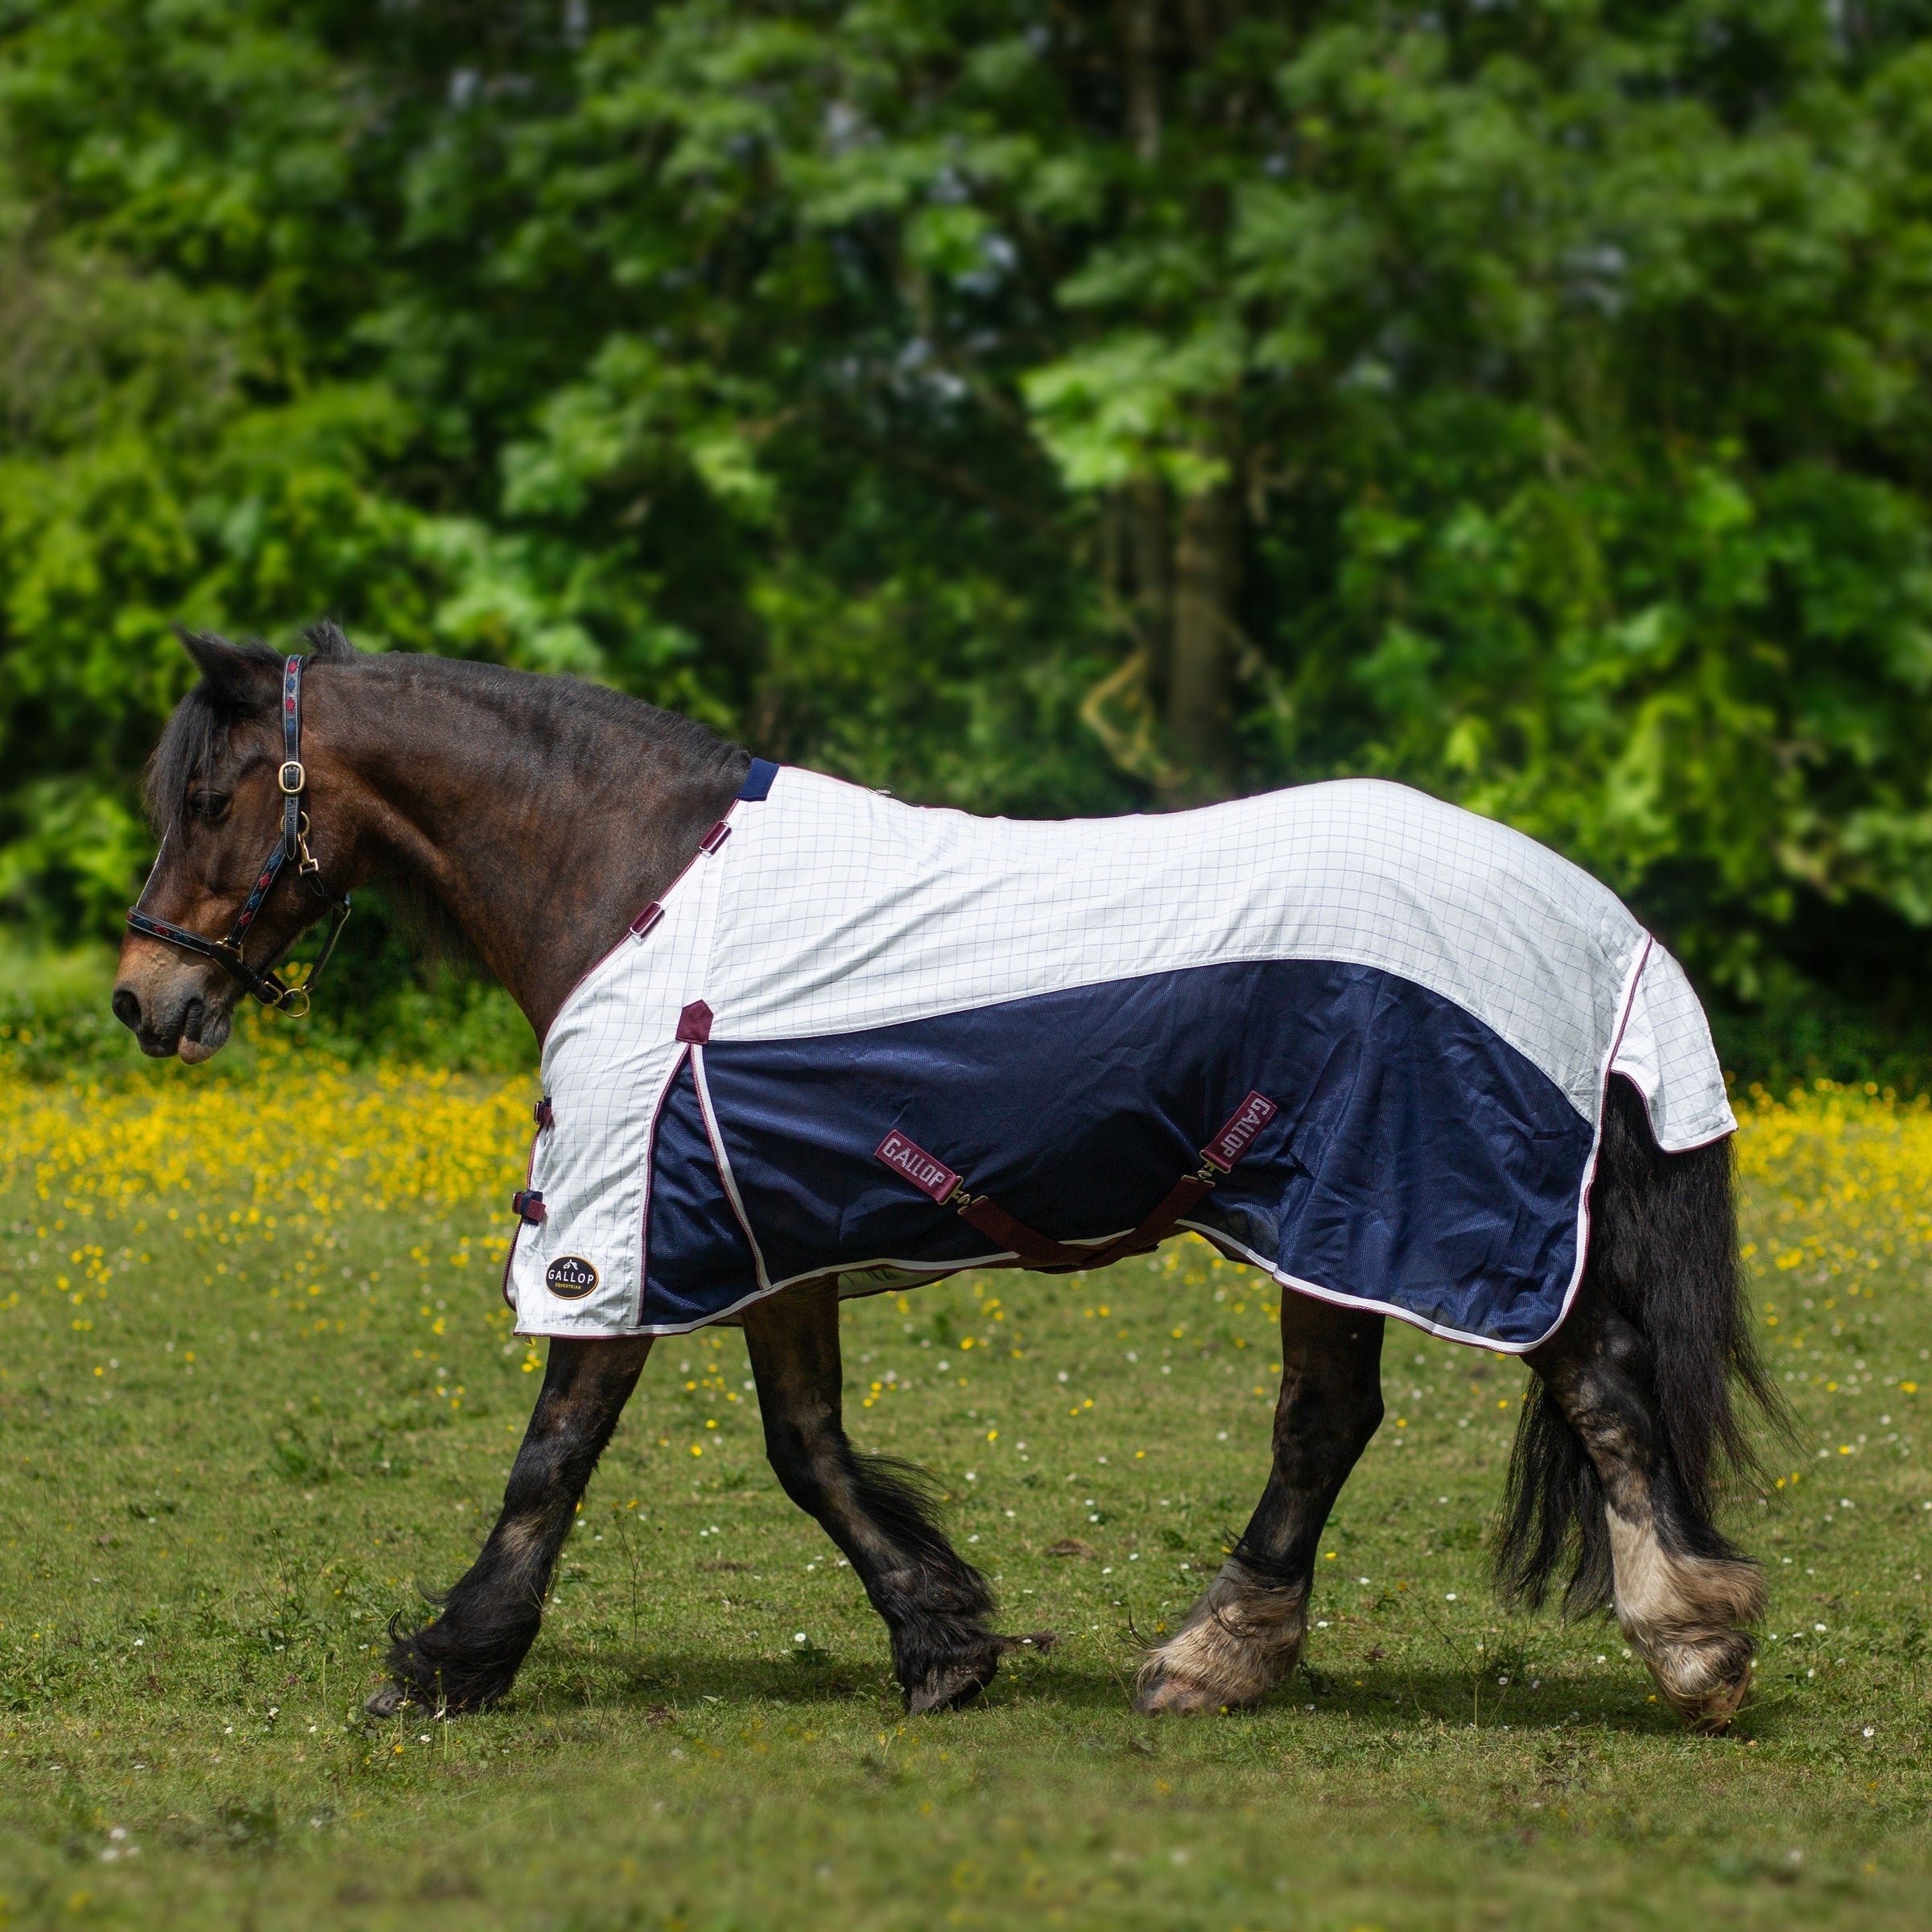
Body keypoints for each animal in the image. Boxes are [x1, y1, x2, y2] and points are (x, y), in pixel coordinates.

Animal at [112, 625, 1780, 1728]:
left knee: (1570, 1387)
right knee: (1355, 1418)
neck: (640, 883)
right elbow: (808, 1450)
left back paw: (1678, 1644)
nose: (146, 999)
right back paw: (1238, 1655)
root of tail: (1585, 915)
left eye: (210, 799)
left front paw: (451, 1662)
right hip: (1335, 1227)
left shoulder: (620, 1234)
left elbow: (554, 1458)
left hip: (1410, 1216)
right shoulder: (764, 1235)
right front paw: (942, 1641)